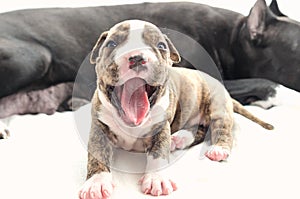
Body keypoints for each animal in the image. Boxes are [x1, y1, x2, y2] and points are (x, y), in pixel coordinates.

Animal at [78, 19, 274, 198]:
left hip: (218, 107)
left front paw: (156, 178)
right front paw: (96, 182)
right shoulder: (99, 128)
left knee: (221, 129)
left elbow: (158, 152)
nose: (137, 57)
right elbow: (97, 154)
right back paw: (179, 139)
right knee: (200, 130)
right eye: (111, 44)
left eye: (161, 46)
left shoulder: (161, 127)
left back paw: (217, 148)